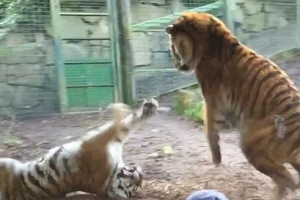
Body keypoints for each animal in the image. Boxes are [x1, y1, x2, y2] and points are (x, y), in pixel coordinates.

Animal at [0, 98, 159, 200]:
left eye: (134, 185)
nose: (141, 174)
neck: (108, 179)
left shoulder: (97, 142)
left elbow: (123, 124)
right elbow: (124, 123)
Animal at [166, 12, 300, 198]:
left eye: (173, 47)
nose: (175, 65)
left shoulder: (213, 100)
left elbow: (210, 129)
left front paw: (216, 159)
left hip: (251, 144)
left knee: (286, 178)